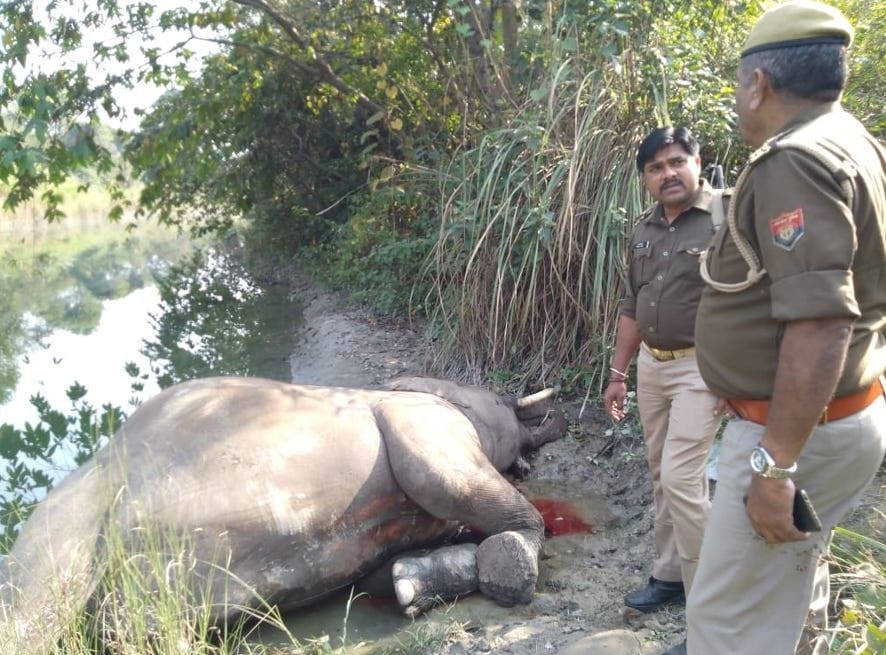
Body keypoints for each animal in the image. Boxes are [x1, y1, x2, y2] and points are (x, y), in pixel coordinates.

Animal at [0, 376, 566, 652]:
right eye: (503, 402)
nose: (555, 426)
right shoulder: (422, 421)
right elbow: (444, 480)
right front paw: (511, 568)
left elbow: (384, 576)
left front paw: (409, 585)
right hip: (72, 518)